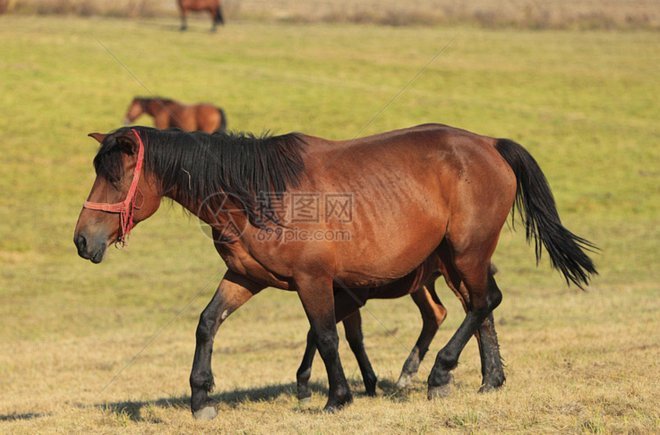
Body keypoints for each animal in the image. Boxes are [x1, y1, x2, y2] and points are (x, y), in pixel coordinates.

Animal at [73, 124, 597, 420]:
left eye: (115, 176)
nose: (82, 239)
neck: (260, 192)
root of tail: (488, 144)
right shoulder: (246, 279)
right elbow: (207, 324)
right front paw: (202, 400)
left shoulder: (315, 282)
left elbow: (325, 335)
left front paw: (337, 396)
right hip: (457, 260)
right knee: (480, 306)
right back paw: (489, 380)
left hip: (466, 251)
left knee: (483, 303)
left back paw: (439, 375)